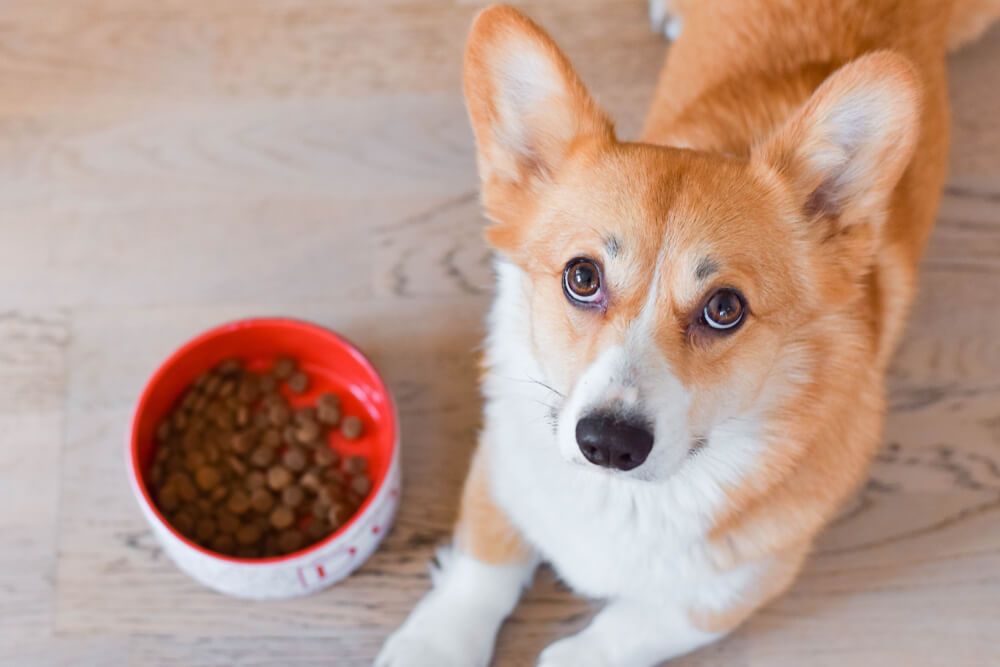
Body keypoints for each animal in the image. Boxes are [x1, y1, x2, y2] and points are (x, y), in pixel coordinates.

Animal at [376, 2, 1000, 664]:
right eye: (581, 276)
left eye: (724, 307)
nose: (608, 444)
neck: (625, 501)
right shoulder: (502, 464)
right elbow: (481, 570)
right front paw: (433, 645)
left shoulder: (727, 591)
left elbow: (615, 635)